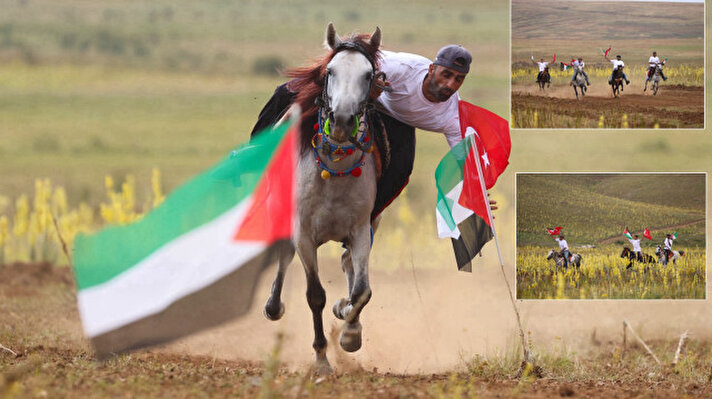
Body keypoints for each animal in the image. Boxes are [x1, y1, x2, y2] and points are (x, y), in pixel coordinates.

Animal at [262, 22, 384, 378]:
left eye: (369, 75)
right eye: (330, 71)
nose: (342, 120)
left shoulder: (360, 229)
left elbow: (361, 291)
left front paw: (349, 333)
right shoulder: (303, 232)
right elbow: (315, 294)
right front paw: (321, 359)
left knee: (348, 266)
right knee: (284, 255)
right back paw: (273, 306)